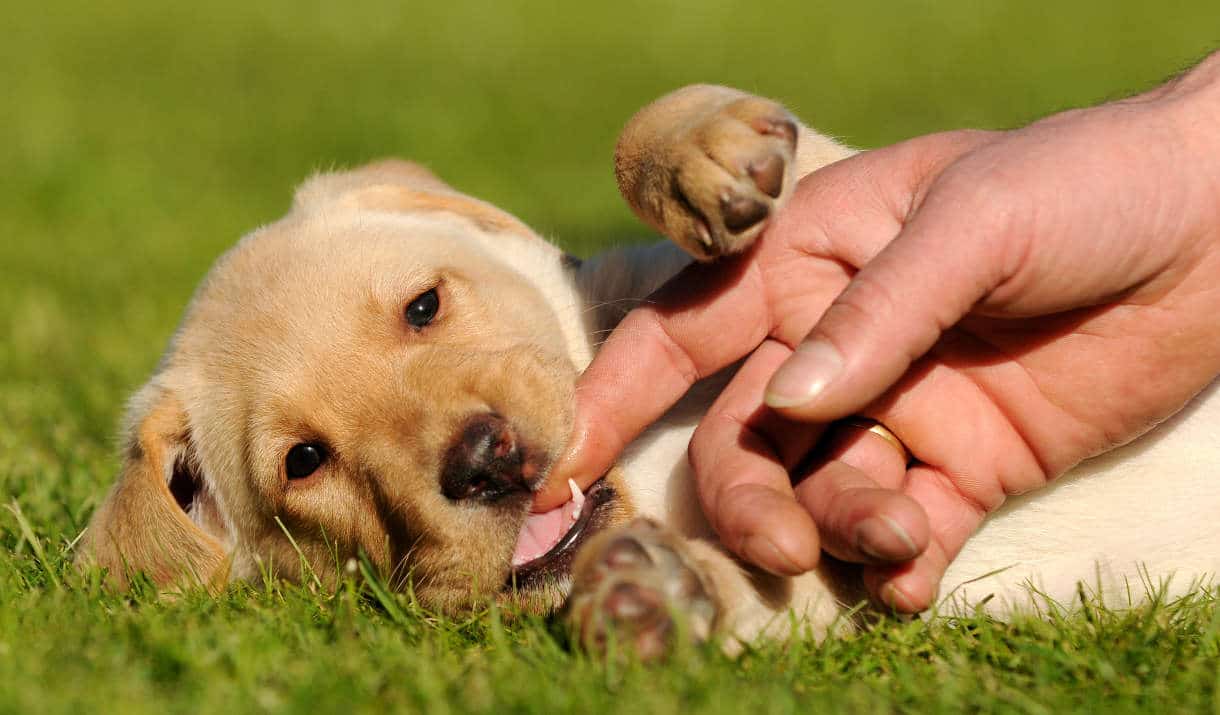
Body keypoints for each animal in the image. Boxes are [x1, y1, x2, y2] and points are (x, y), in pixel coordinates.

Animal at [81, 86, 1220, 653]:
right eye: (305, 462)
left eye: (424, 307)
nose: (483, 462)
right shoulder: (845, 598)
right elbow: (761, 597)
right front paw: (653, 597)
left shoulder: (852, 213)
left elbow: (710, 141)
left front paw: (702, 154)